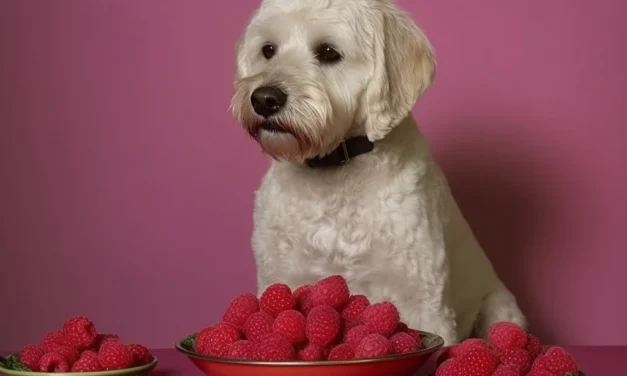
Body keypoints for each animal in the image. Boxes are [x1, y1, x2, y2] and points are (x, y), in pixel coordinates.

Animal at [229, 0, 524, 344]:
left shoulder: (421, 299)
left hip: (500, 308)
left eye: (329, 52)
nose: (264, 99)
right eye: (268, 49)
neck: (335, 174)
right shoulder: (281, 277)